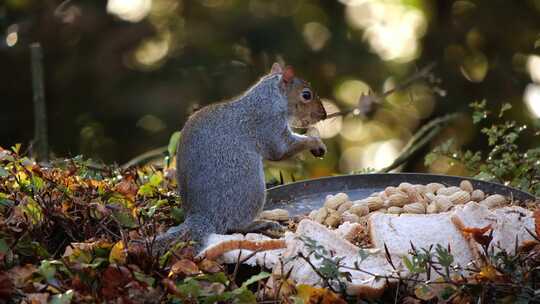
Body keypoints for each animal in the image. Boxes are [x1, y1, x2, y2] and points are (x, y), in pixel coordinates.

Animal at [154, 62, 326, 254]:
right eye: (306, 95)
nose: (324, 115)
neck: (269, 98)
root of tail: (204, 216)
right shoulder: (269, 125)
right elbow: (281, 150)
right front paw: (315, 142)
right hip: (251, 187)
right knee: (235, 225)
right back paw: (260, 223)